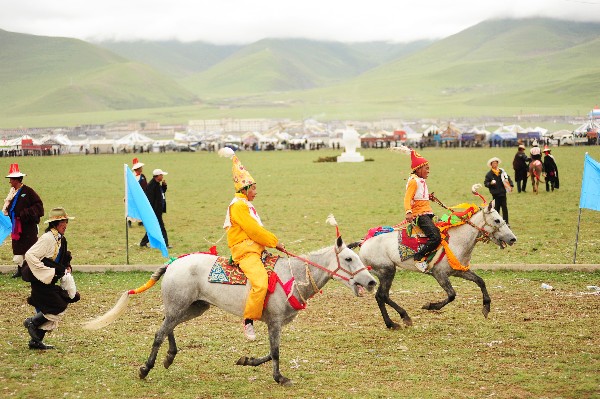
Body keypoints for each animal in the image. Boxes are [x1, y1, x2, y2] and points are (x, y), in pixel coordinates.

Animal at [84, 236, 376, 386]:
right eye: (349, 258)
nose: (372, 282)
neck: (291, 276)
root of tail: (174, 263)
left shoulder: (275, 323)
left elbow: (269, 353)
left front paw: (246, 360)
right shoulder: (275, 322)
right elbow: (276, 352)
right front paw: (280, 377)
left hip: (192, 308)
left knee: (167, 326)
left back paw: (169, 357)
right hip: (181, 306)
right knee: (159, 332)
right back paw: (146, 368)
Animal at [352, 202, 516, 330]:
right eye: (497, 220)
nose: (513, 239)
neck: (457, 240)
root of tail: (363, 242)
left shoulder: (459, 271)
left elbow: (480, 281)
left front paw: (486, 307)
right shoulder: (439, 274)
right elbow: (451, 295)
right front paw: (430, 306)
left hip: (384, 272)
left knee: (380, 296)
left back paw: (391, 323)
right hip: (387, 271)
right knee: (383, 295)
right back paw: (403, 317)